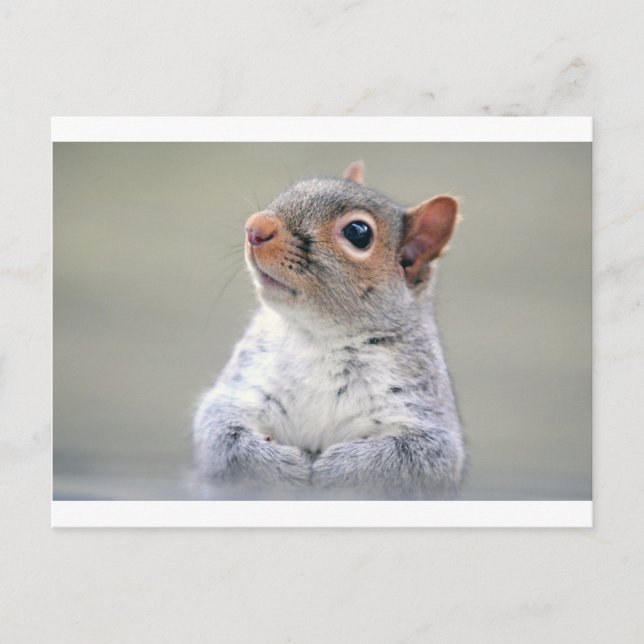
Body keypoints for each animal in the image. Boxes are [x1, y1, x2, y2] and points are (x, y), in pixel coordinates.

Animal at [193, 161, 465, 499]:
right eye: (294, 189)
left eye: (358, 233)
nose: (255, 227)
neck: (319, 337)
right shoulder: (244, 386)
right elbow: (219, 435)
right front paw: (279, 465)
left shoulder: (424, 414)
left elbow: (416, 460)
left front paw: (339, 470)